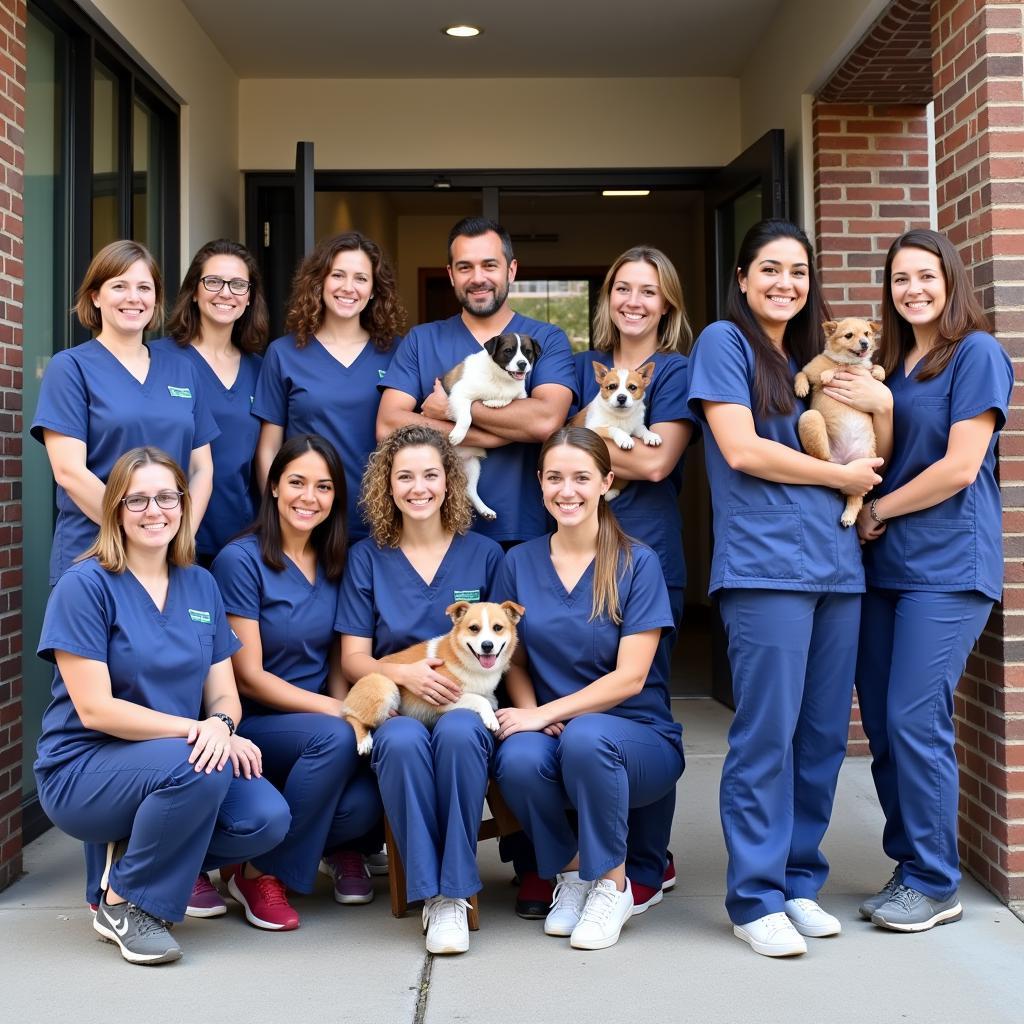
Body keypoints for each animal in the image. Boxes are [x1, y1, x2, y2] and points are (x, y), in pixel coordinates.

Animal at [344, 598, 524, 757]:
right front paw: (490, 717)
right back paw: (364, 740)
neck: (467, 663)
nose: (487, 646)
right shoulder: (445, 698)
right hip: (384, 685)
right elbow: (479, 699)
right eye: (474, 628)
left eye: (497, 628)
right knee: (351, 717)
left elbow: (487, 698)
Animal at [442, 331, 544, 520]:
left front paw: (496, 402)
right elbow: (466, 417)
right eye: (508, 351)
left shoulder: (521, 396)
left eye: (528, 352)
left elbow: (512, 397)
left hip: (472, 466)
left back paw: (485, 510)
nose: (522, 364)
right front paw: (458, 434)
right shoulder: (460, 393)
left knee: (470, 491)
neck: (500, 377)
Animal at [573, 362, 659, 501]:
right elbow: (612, 427)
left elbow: (643, 429)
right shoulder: (592, 428)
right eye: (612, 387)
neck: (621, 416)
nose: (622, 397)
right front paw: (624, 438)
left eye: (632, 387)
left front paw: (651, 436)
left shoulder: (636, 425)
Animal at [794, 315, 884, 528]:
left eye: (867, 333)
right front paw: (806, 386)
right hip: (811, 418)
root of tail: (845, 462)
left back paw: (848, 516)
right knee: (824, 462)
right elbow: (802, 374)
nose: (865, 343)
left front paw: (878, 372)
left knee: (855, 499)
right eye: (849, 335)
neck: (850, 364)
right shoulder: (808, 370)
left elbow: (875, 367)